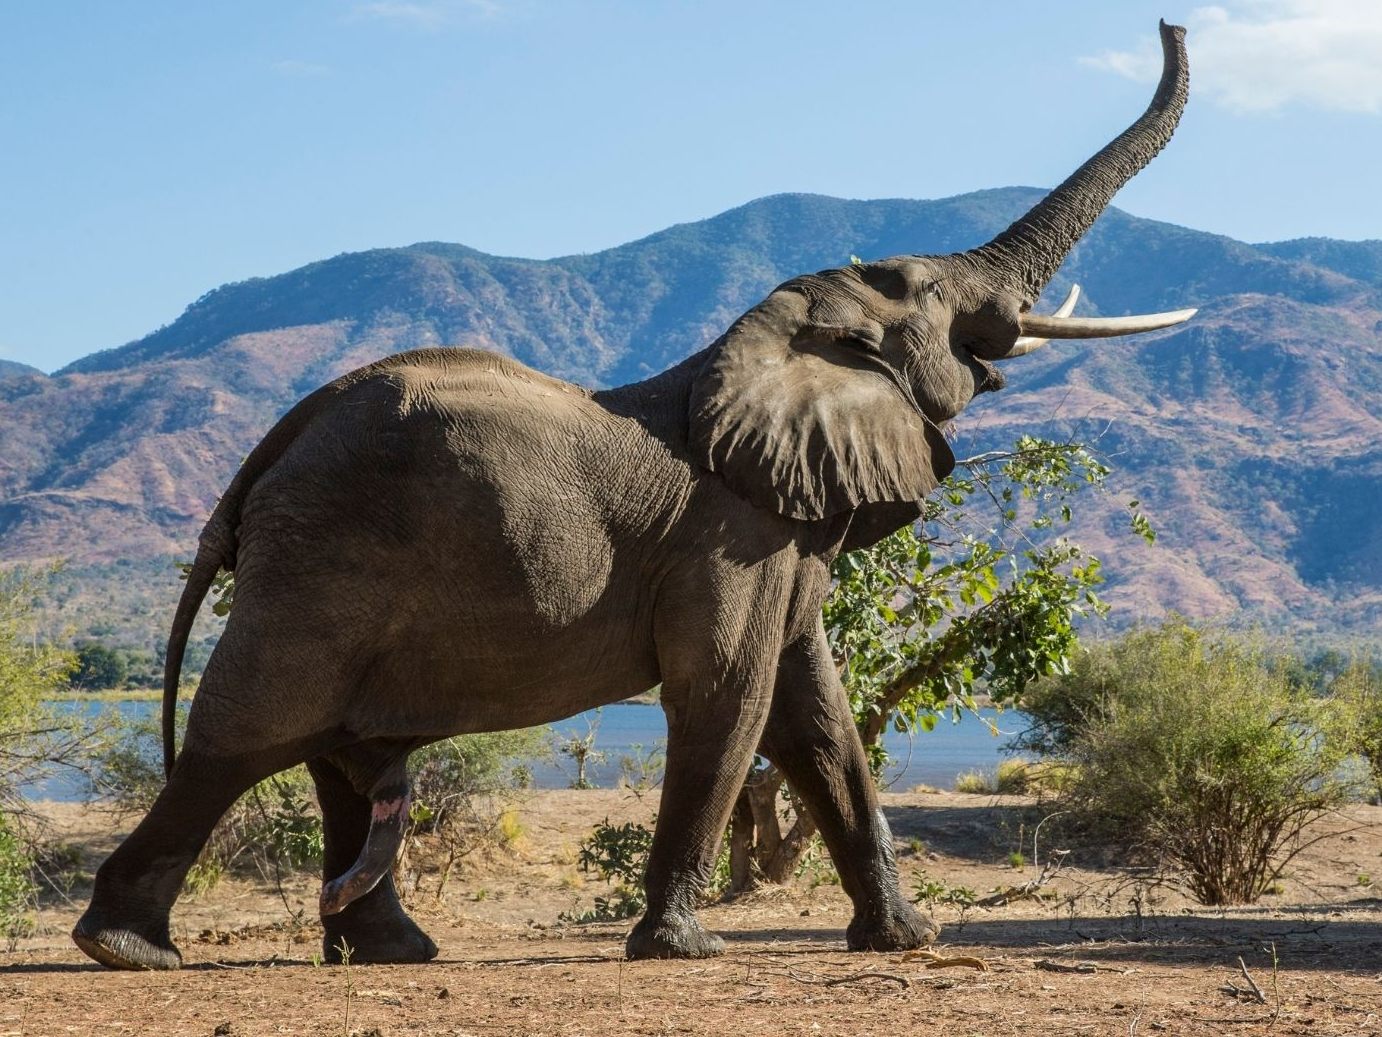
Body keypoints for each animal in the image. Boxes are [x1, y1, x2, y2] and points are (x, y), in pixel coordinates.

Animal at [75, 18, 1194, 973]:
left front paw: (903, 939)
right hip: (319, 563)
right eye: (927, 292)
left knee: (333, 754)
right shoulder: (730, 537)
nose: (1172, 24)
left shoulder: (782, 534)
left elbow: (817, 715)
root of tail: (267, 453)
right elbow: (729, 695)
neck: (765, 341)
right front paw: (682, 947)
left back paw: (390, 951)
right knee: (246, 734)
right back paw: (126, 948)